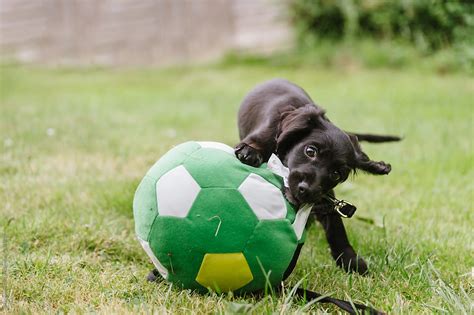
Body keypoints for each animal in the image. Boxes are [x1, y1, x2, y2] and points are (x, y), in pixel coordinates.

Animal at [235, 78, 398, 274]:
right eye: (310, 151)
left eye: (336, 174)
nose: (306, 190)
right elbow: (256, 142)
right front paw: (250, 151)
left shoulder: (324, 197)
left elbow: (336, 225)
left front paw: (350, 260)